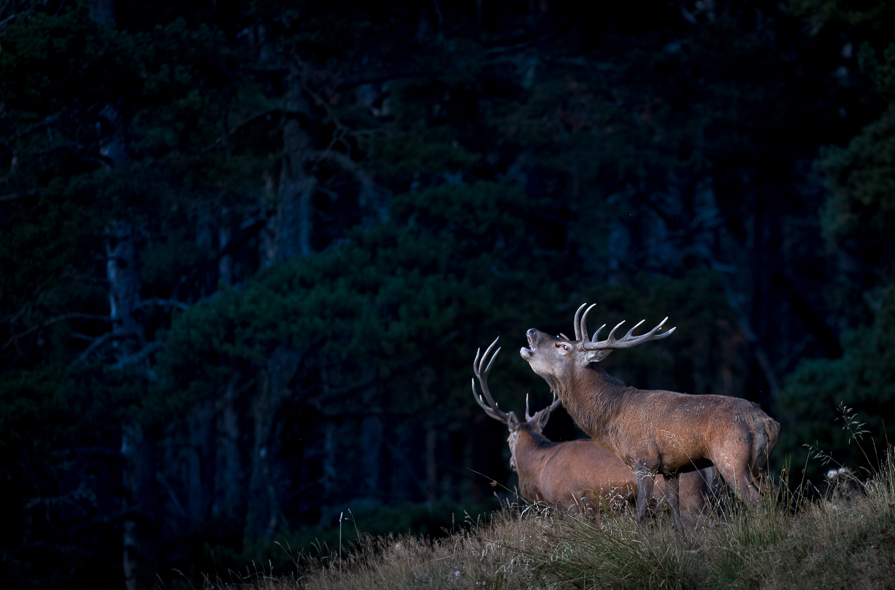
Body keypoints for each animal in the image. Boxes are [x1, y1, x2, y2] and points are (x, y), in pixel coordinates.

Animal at [520, 308, 780, 528]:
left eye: (563, 346)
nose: (531, 331)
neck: (613, 418)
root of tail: (767, 422)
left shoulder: (644, 461)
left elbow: (641, 514)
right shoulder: (671, 469)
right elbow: (676, 519)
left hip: (732, 459)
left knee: (757, 502)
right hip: (760, 466)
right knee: (774, 494)